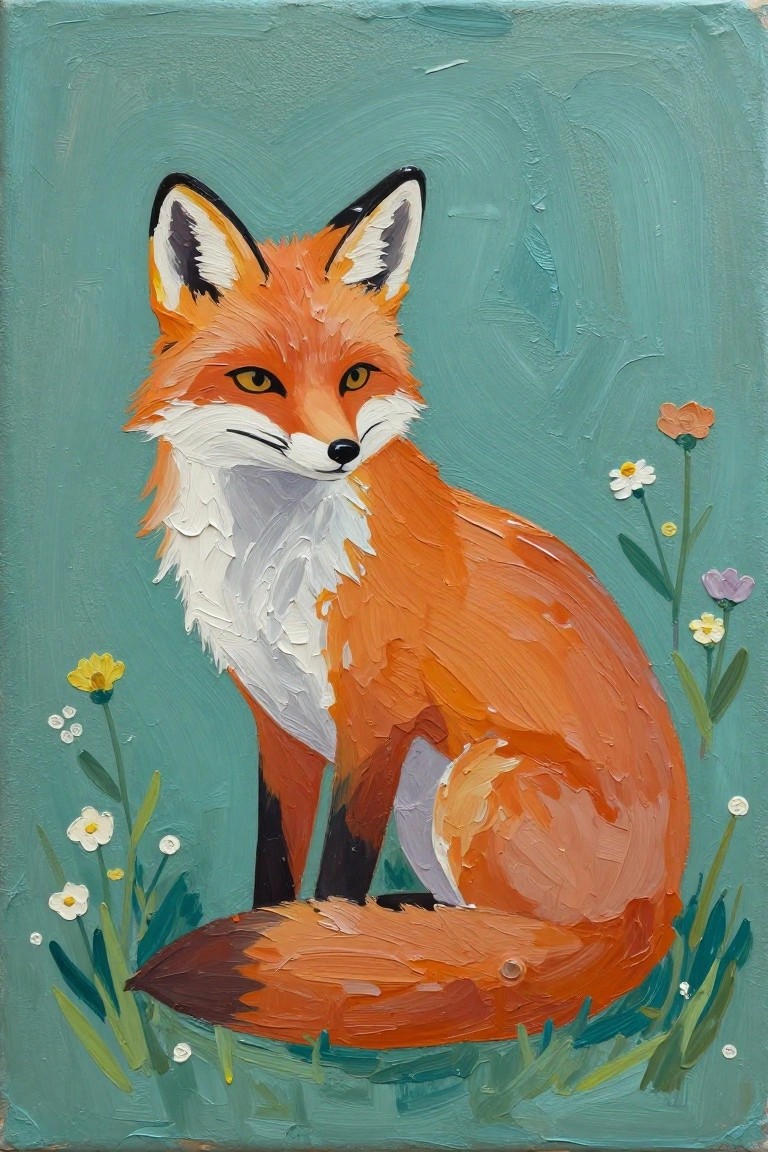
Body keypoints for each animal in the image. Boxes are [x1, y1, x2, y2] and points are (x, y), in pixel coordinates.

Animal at [126, 168, 689, 1049]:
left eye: (356, 377)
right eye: (257, 380)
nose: (343, 451)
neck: (271, 564)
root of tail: (652, 921)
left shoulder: (376, 718)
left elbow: (337, 871)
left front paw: (317, 951)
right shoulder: (281, 725)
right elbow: (275, 865)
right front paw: (278, 936)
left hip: (474, 784)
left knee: (523, 954)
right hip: (436, 798)